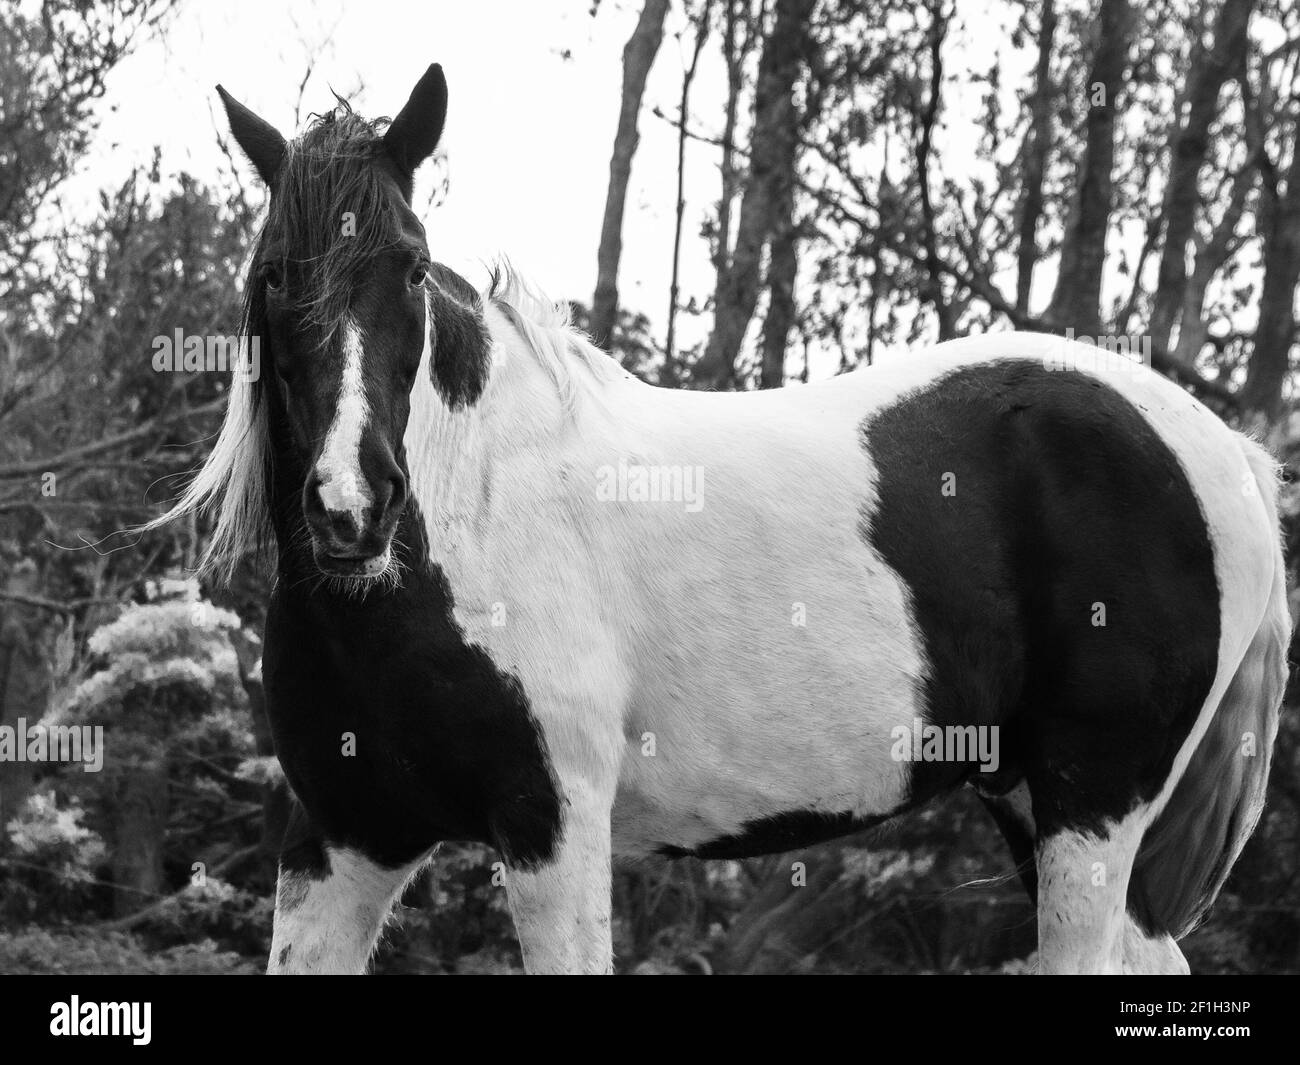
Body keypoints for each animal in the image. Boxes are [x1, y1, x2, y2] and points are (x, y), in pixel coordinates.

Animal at [165, 64, 1289, 972]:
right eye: (273, 274)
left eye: (406, 264)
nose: (350, 505)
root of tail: (1226, 452)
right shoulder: (341, 839)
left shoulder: (550, 826)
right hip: (1031, 800)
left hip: (1089, 806)